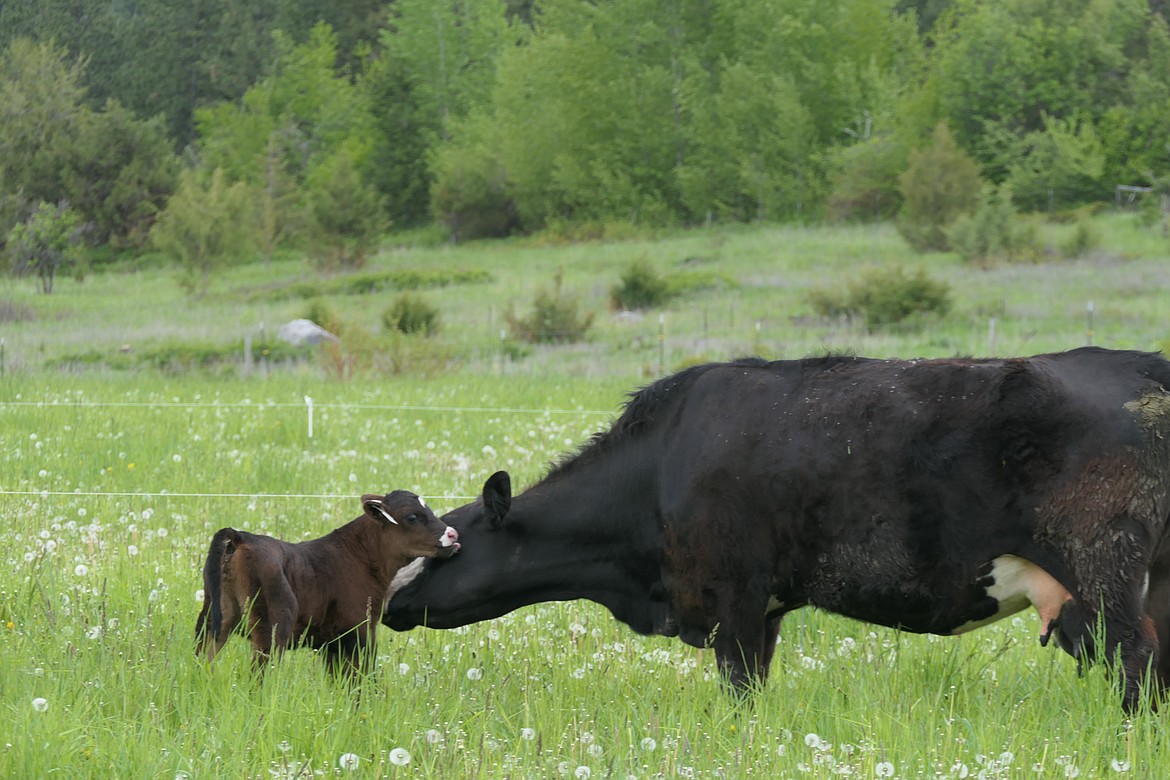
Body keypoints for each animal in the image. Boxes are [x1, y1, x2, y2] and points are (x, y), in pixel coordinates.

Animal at [194, 491, 453, 673]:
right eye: (412, 517)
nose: (452, 533)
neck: (359, 557)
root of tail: (241, 536)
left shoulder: (331, 643)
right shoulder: (359, 630)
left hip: (214, 619)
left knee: (203, 661)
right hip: (271, 625)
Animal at [386, 348, 1170, 706]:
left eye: (444, 541)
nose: (387, 602)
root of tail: (1138, 363)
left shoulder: (732, 598)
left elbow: (737, 693)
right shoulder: (762, 612)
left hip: (1106, 573)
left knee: (1138, 663)